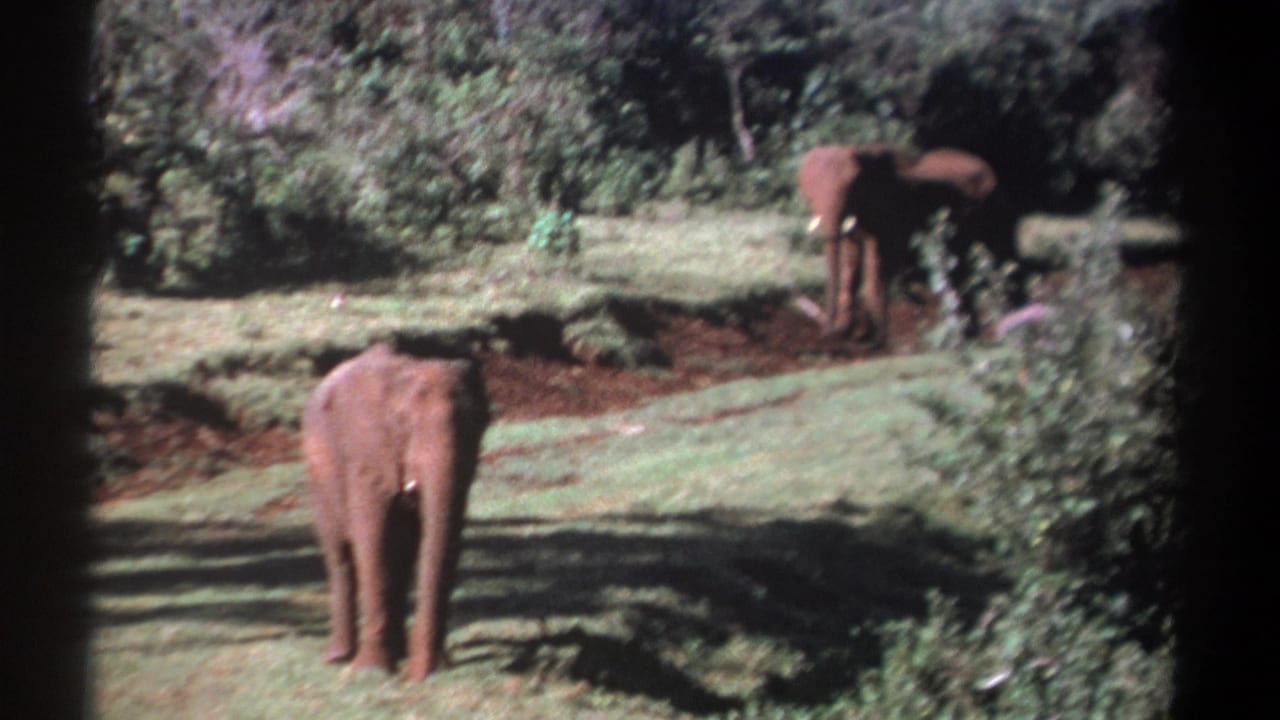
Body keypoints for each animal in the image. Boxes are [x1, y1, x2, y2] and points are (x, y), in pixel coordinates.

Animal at [302, 343, 490, 681]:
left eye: (481, 424)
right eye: (404, 424)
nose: (418, 677)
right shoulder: (367, 451)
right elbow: (371, 537)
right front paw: (371, 671)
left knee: (401, 556)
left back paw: (395, 653)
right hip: (318, 477)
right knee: (340, 554)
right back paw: (339, 658)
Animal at [797, 144, 999, 344]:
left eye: (850, 189)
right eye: (811, 193)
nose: (826, 333)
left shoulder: (887, 210)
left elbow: (876, 260)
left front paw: (874, 337)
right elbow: (852, 260)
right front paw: (848, 332)